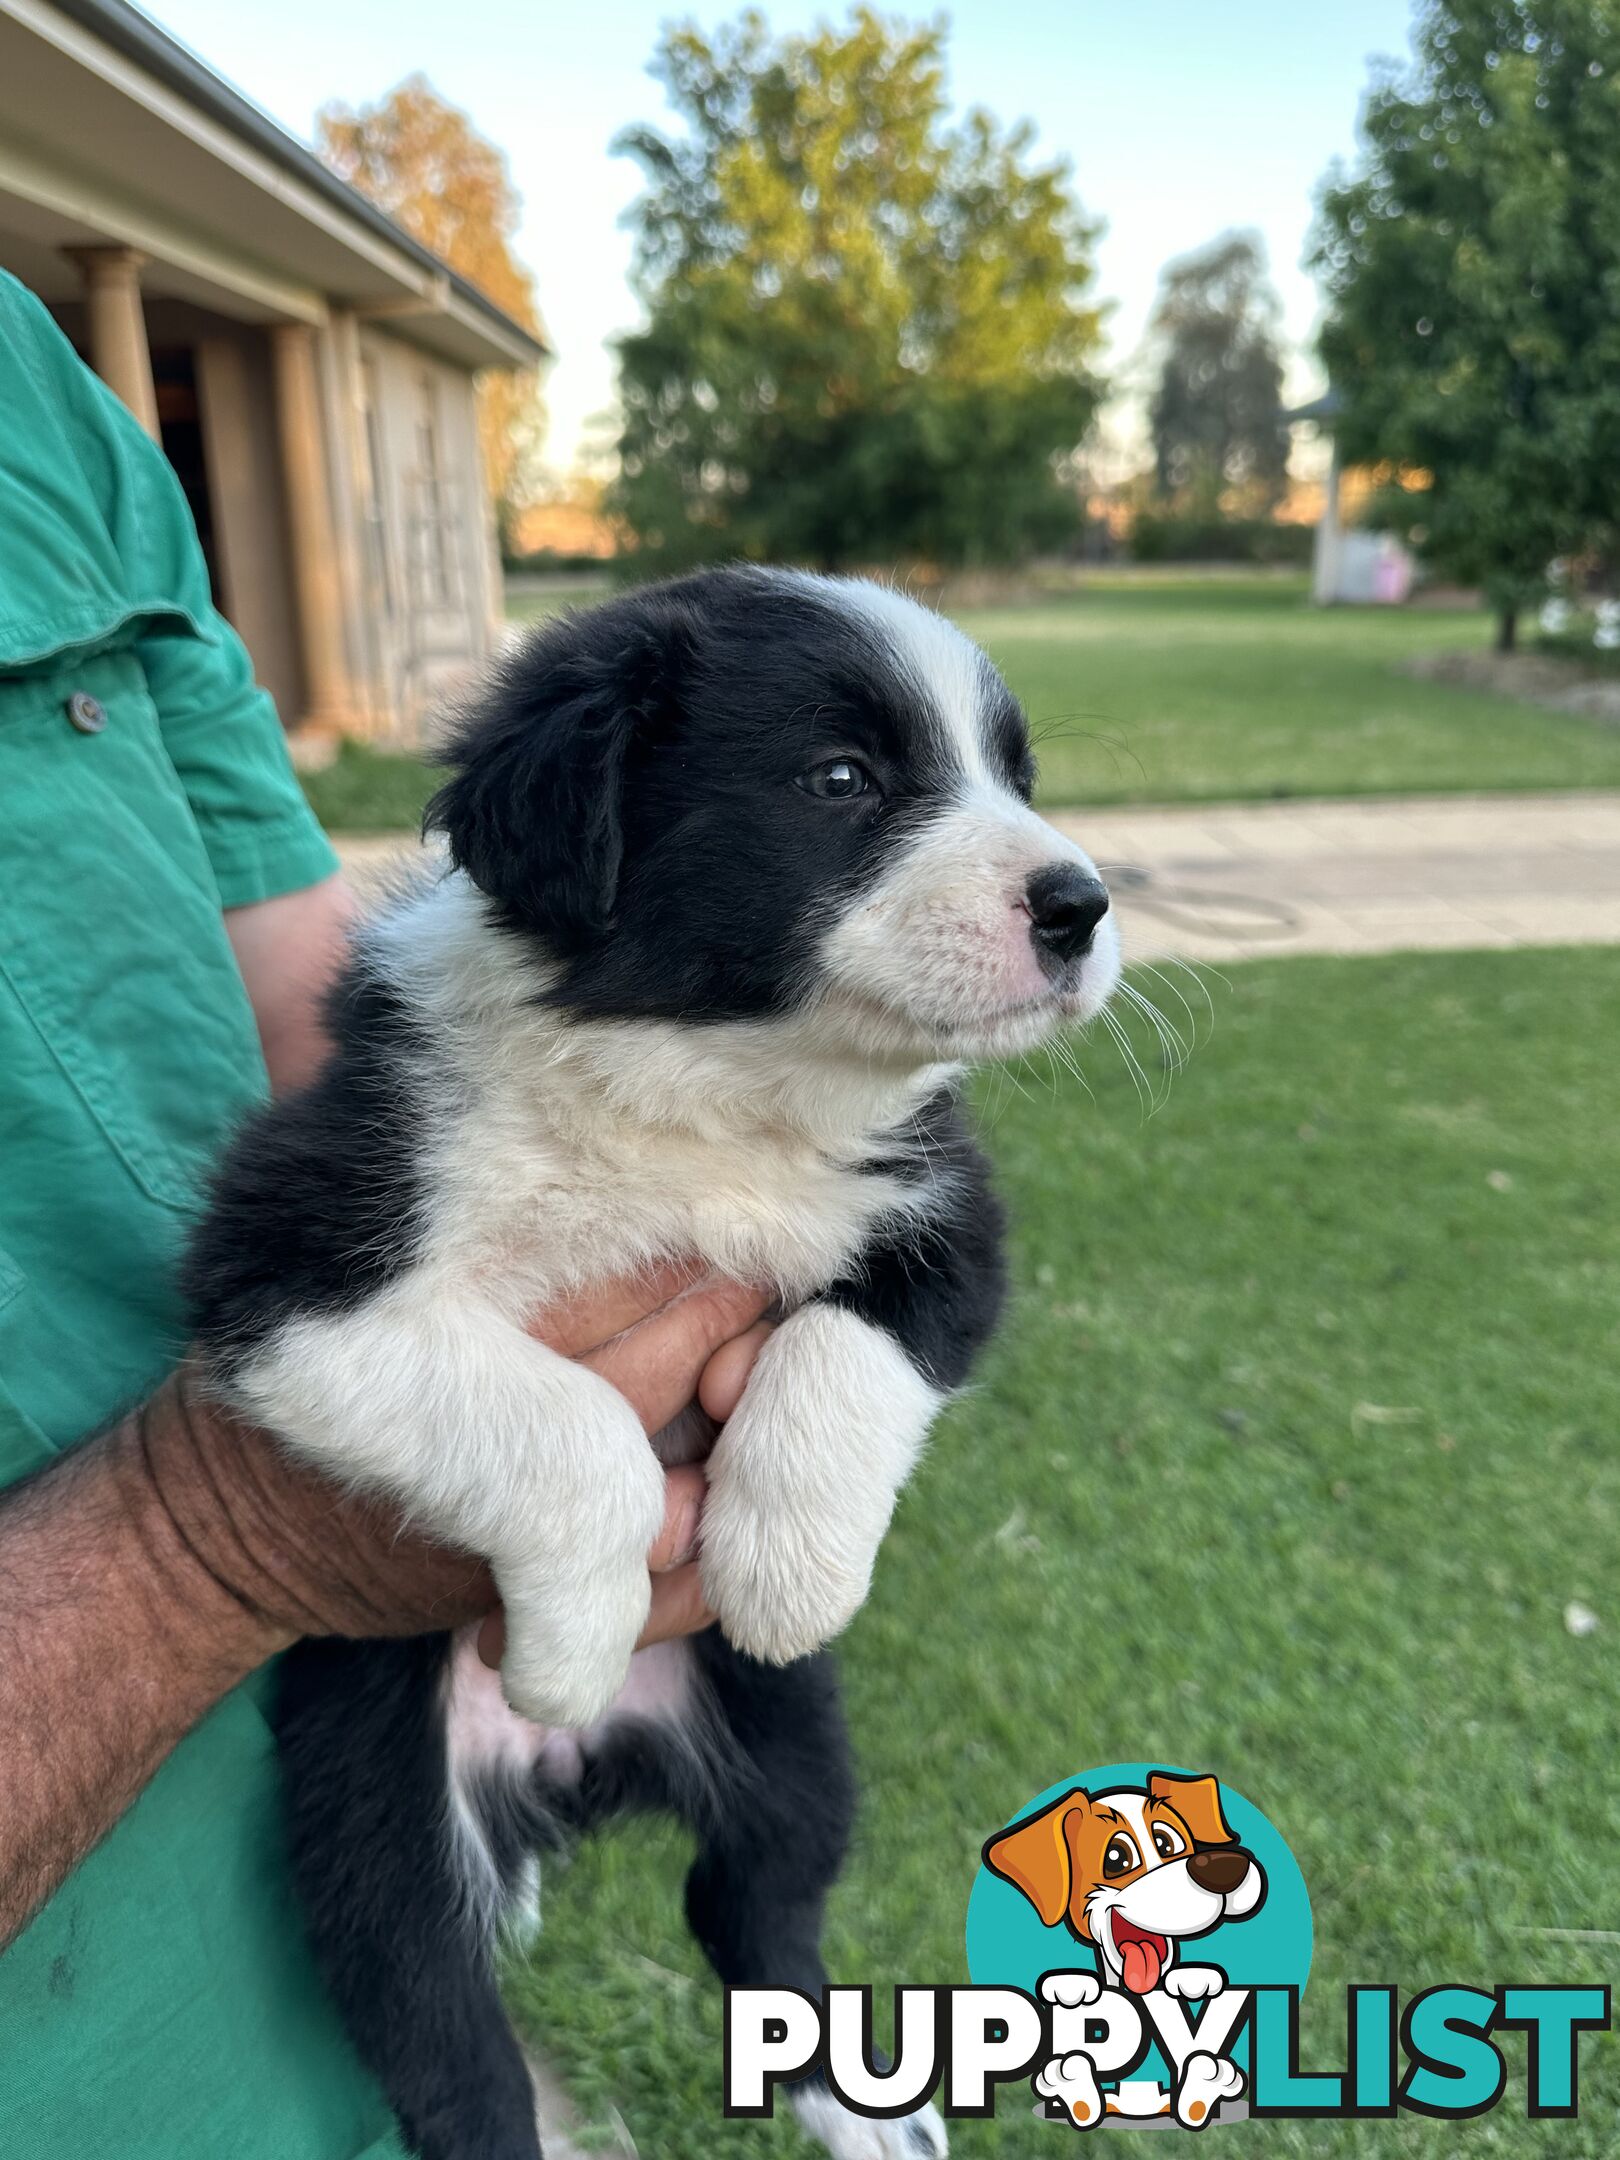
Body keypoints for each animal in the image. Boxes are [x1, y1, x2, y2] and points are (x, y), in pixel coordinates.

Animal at [183, 565, 1123, 2151]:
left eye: (1017, 779)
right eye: (842, 779)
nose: (1082, 906)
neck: (705, 1086)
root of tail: (573, 1782)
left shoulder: (946, 1209)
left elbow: (848, 1348)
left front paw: (790, 1570)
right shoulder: (287, 1269)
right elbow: (574, 1429)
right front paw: (571, 1640)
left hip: (790, 1746)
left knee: (757, 1907)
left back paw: (866, 2110)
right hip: (372, 1824)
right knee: (447, 2043)